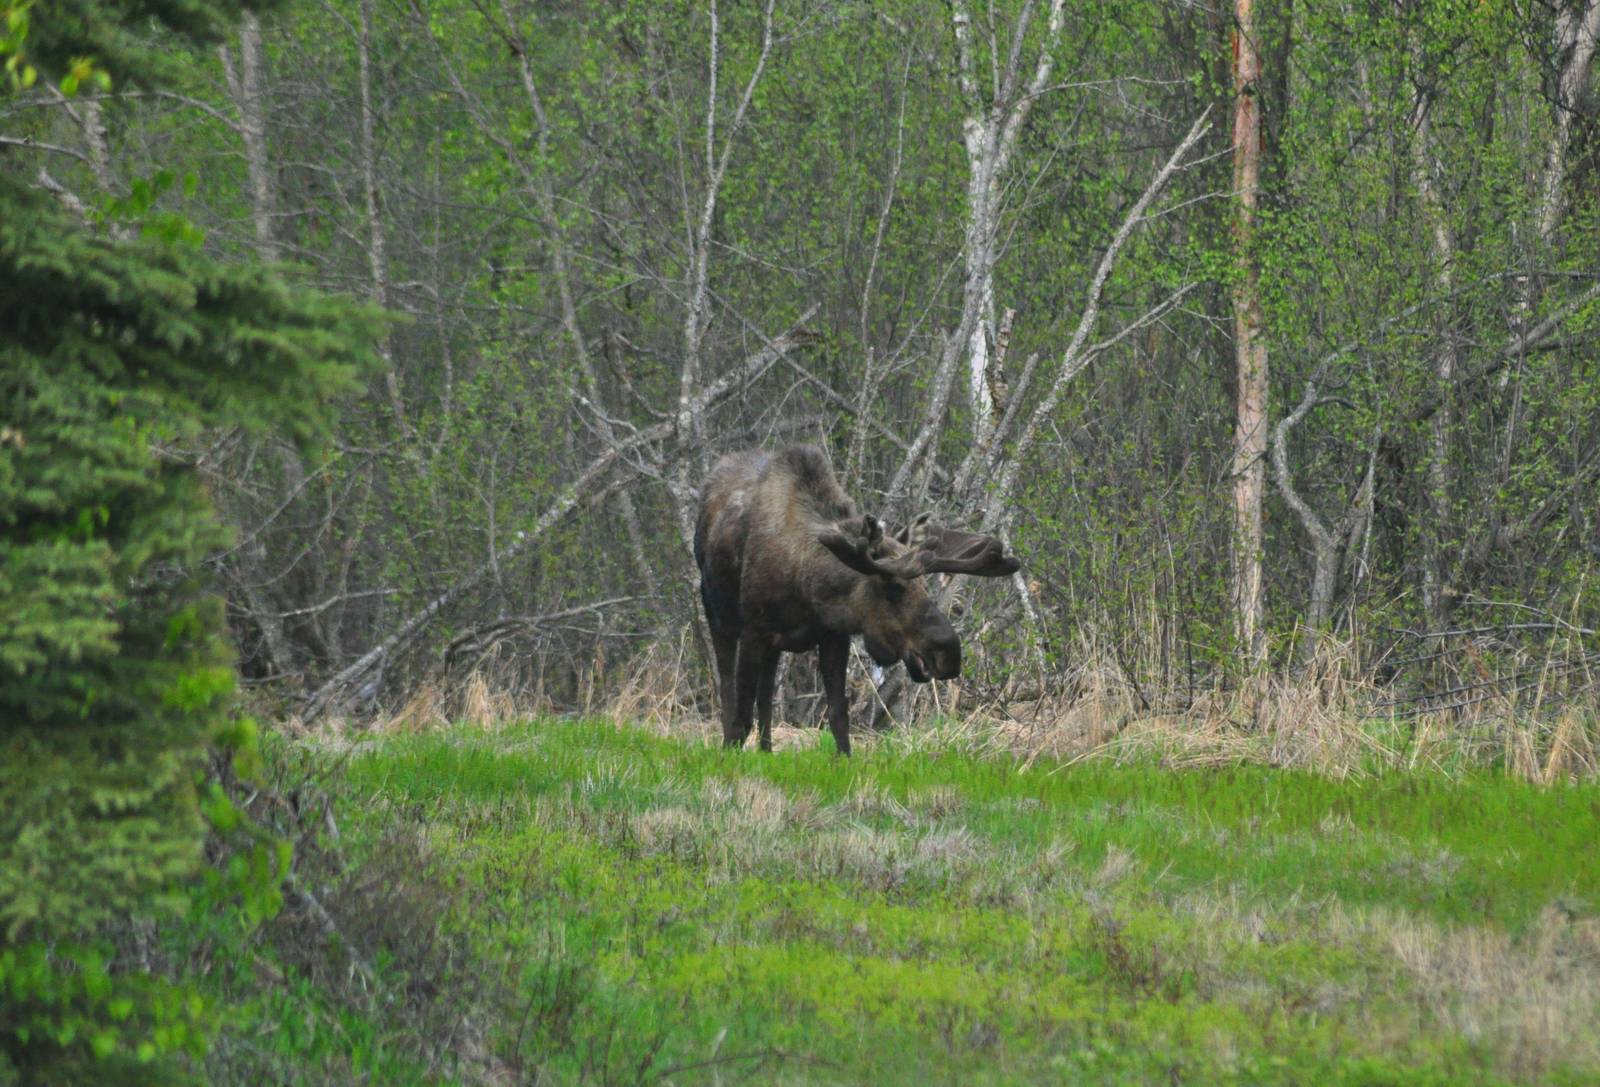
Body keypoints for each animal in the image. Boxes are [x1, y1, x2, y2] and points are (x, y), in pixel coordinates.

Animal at [693, 445, 1020, 755]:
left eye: (925, 587)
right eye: (892, 589)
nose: (949, 653)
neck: (807, 587)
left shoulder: (833, 637)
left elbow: (838, 716)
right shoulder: (753, 632)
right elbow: (740, 717)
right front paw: (729, 756)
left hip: (771, 645)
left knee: (766, 695)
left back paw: (766, 751)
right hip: (718, 617)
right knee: (727, 689)